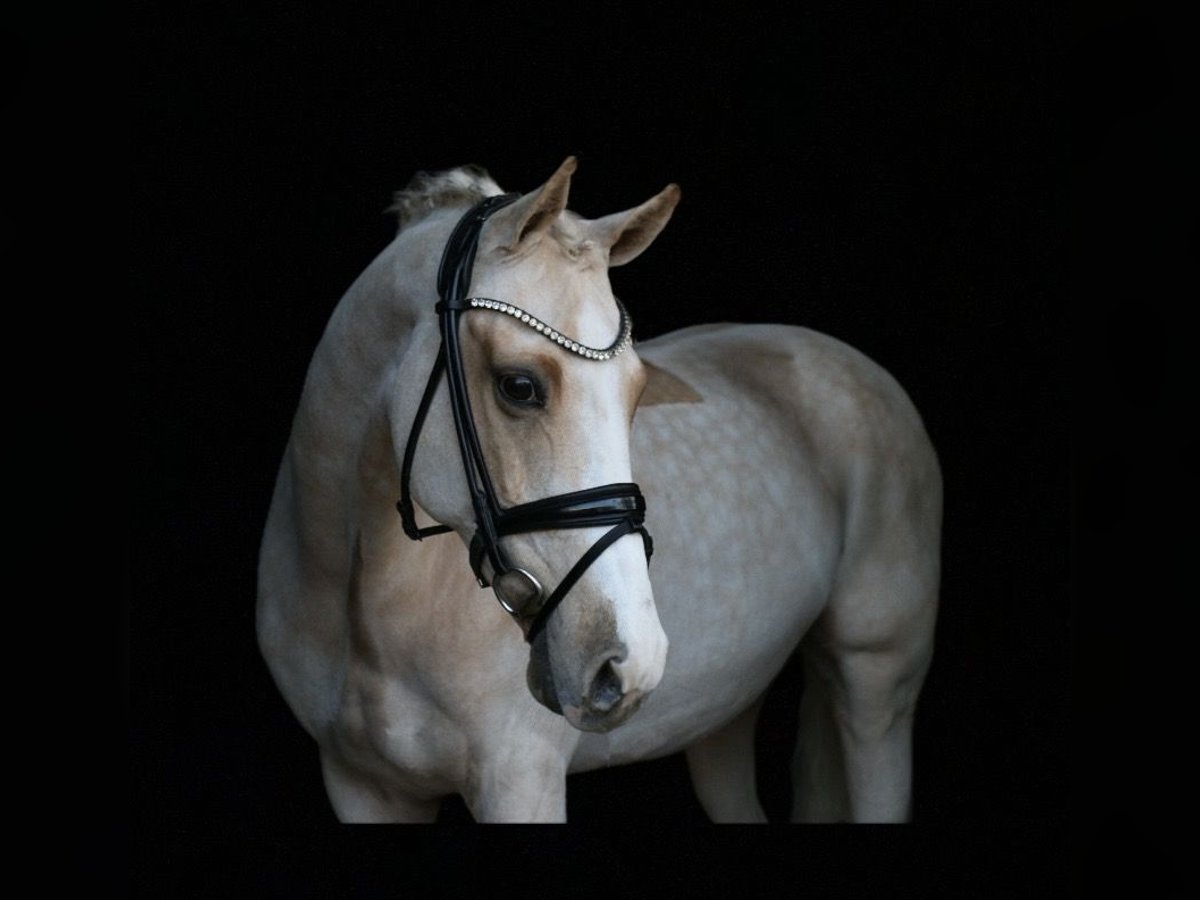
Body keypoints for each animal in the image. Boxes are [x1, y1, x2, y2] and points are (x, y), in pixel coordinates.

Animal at [258, 157, 940, 825]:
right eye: (519, 386)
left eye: (637, 392)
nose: (631, 662)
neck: (365, 604)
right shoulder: (361, 787)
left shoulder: (520, 782)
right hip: (725, 714)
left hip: (878, 685)